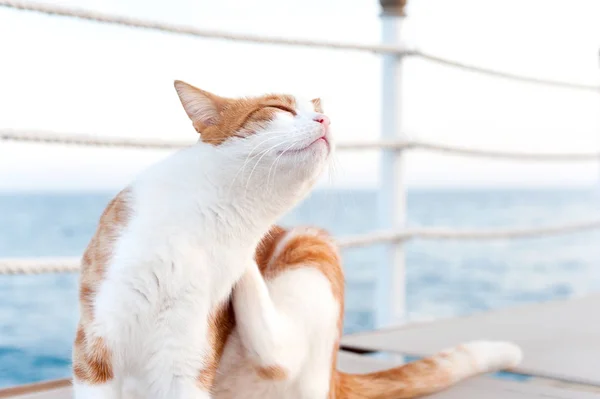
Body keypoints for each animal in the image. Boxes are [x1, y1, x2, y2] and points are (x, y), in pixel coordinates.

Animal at [73, 81, 332, 399]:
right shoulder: (97, 347)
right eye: (280, 107)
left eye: (320, 110)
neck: (212, 217)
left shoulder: (186, 358)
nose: (325, 120)